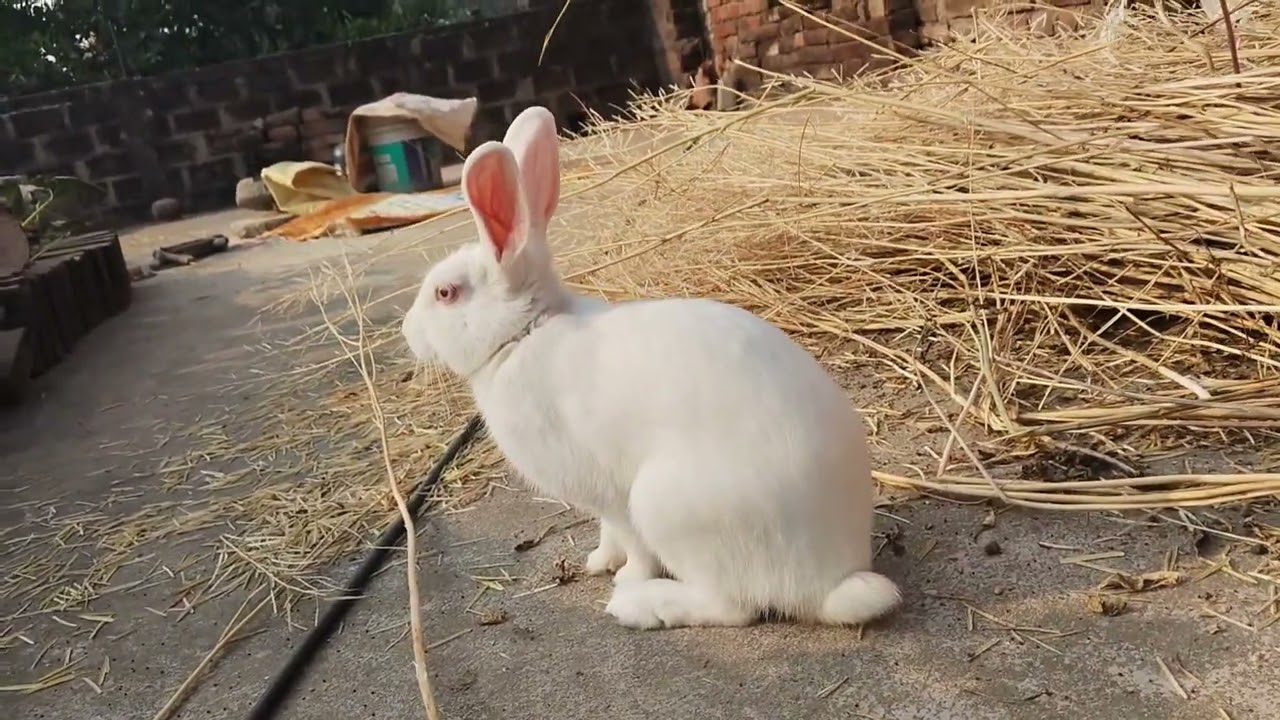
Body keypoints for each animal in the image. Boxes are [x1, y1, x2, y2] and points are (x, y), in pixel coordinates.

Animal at [401, 105, 901, 630]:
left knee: (734, 607)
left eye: (445, 293)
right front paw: (599, 561)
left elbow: (633, 544)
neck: (526, 332)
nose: (407, 331)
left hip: (668, 507)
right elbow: (609, 535)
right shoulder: (603, 506)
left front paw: (625, 577)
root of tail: (828, 583)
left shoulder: (613, 495)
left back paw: (640, 605)